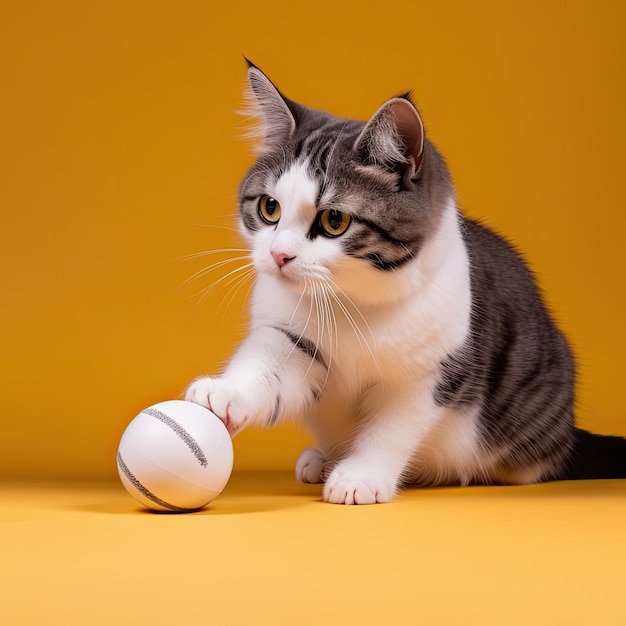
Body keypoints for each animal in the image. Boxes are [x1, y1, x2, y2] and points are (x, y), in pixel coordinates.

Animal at [185, 62, 624, 502]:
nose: (278, 255)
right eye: (269, 208)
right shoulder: (295, 336)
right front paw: (226, 393)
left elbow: (393, 427)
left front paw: (361, 476)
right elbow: (271, 365)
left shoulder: (433, 369)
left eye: (334, 220)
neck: (351, 301)